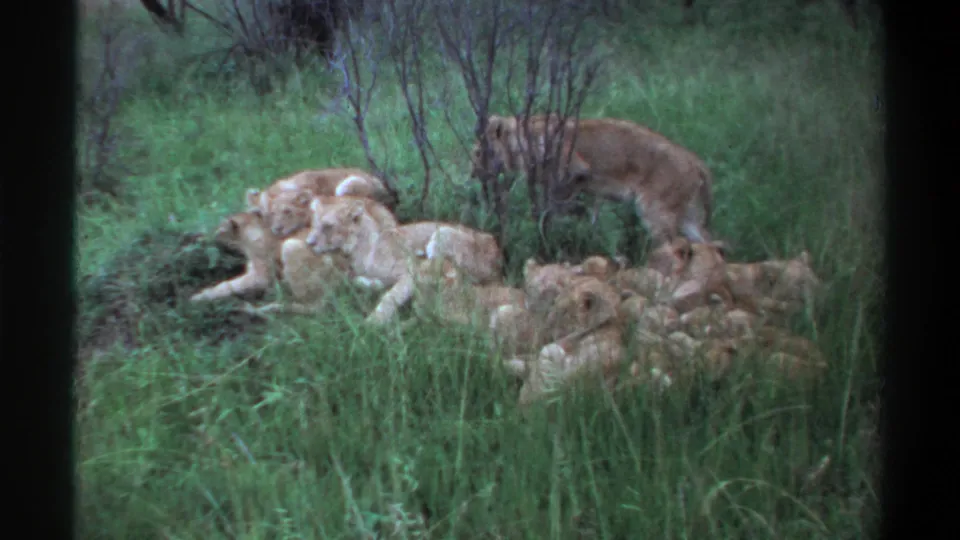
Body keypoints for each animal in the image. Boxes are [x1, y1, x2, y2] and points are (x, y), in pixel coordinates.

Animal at [189, 210, 351, 307]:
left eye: (219, 230)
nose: (208, 236)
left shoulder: (260, 275)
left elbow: (230, 285)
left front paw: (201, 296)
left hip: (290, 247)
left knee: (308, 305)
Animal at [305, 197, 505, 325]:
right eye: (313, 225)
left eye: (328, 226)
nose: (309, 243)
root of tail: (498, 255)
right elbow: (359, 281)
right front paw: (372, 284)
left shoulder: (410, 273)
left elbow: (390, 297)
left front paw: (373, 322)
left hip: (441, 236)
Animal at [470, 114, 715, 245]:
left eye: (479, 152)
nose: (473, 173)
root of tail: (695, 160)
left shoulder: (573, 171)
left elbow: (556, 209)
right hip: (687, 215)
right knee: (712, 244)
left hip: (655, 211)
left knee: (675, 246)